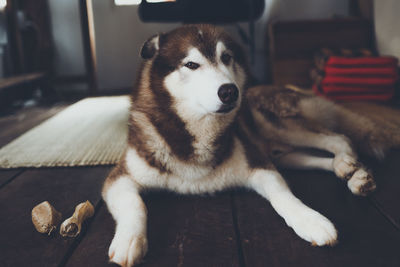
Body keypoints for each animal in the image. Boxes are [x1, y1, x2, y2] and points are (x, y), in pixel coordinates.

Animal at [101, 24, 398, 266]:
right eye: (191, 65)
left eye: (226, 58)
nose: (230, 91)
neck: (197, 130)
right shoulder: (120, 177)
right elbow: (135, 204)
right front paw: (129, 241)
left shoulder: (259, 165)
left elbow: (283, 196)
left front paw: (310, 220)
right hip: (282, 153)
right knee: (317, 157)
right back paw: (351, 172)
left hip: (274, 126)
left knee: (338, 138)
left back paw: (348, 163)